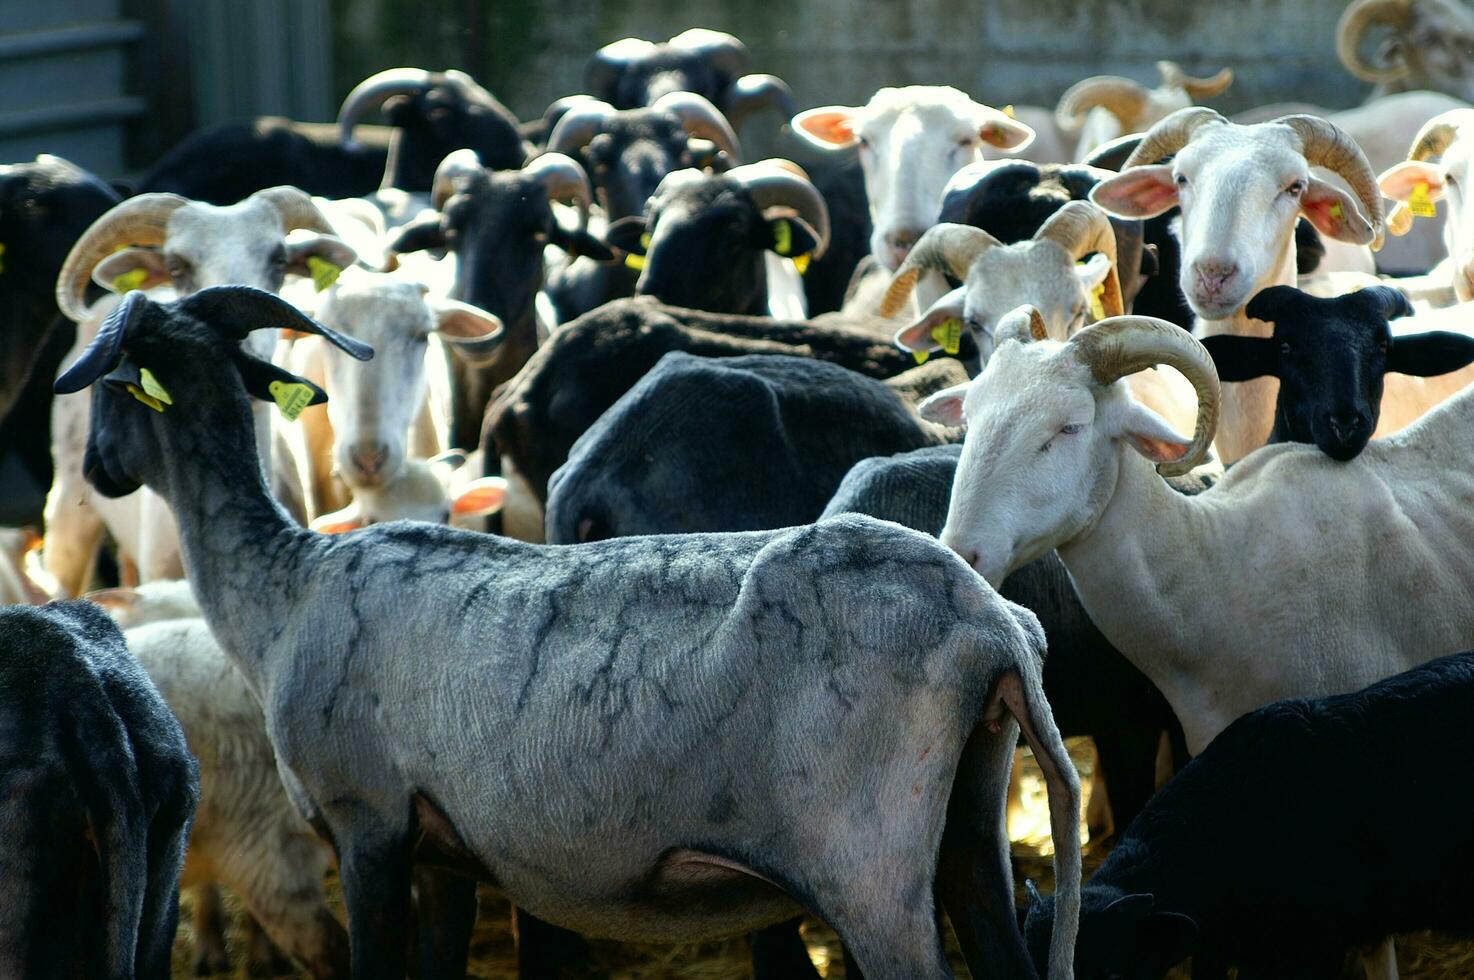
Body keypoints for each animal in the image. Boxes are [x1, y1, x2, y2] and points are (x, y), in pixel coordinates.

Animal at [54, 284, 1084, 978]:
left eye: (107, 389)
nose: (99, 467)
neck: (283, 585)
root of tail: (988, 625)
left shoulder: (366, 822)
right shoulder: (441, 849)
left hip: (866, 856)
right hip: (968, 817)